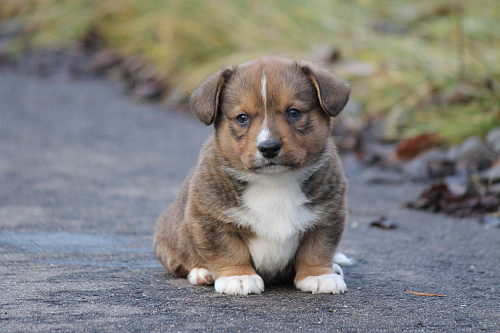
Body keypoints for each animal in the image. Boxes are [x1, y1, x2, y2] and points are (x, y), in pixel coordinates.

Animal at [154, 55, 350, 294]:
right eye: (242, 118)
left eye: (293, 112)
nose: (268, 148)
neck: (274, 181)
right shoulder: (210, 218)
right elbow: (227, 249)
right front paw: (238, 277)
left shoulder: (327, 216)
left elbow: (318, 248)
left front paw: (319, 275)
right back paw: (202, 272)